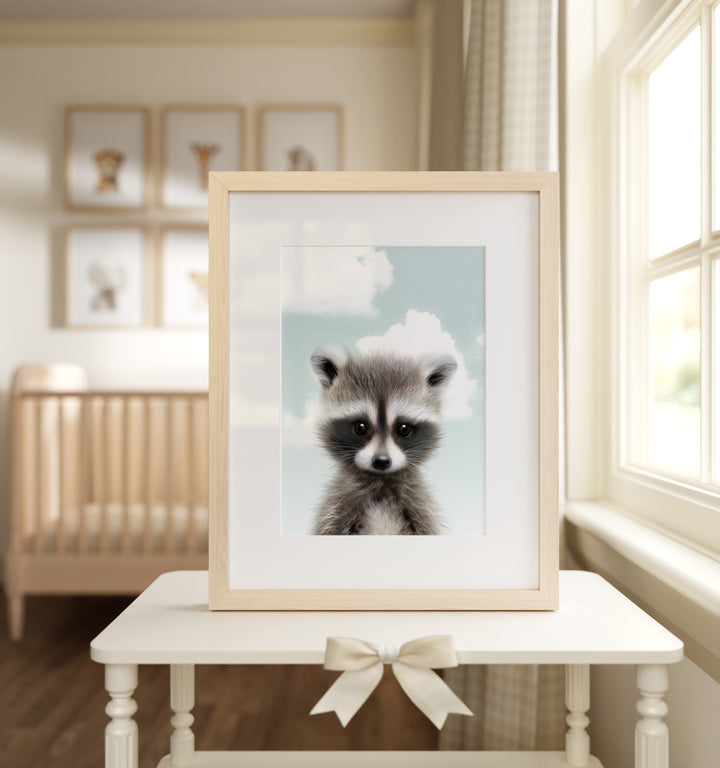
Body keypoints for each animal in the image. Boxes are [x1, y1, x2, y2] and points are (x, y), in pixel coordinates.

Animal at [310, 347, 457, 535]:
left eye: (403, 429)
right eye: (360, 427)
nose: (381, 461)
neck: (381, 482)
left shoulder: (419, 504)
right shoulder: (338, 504)